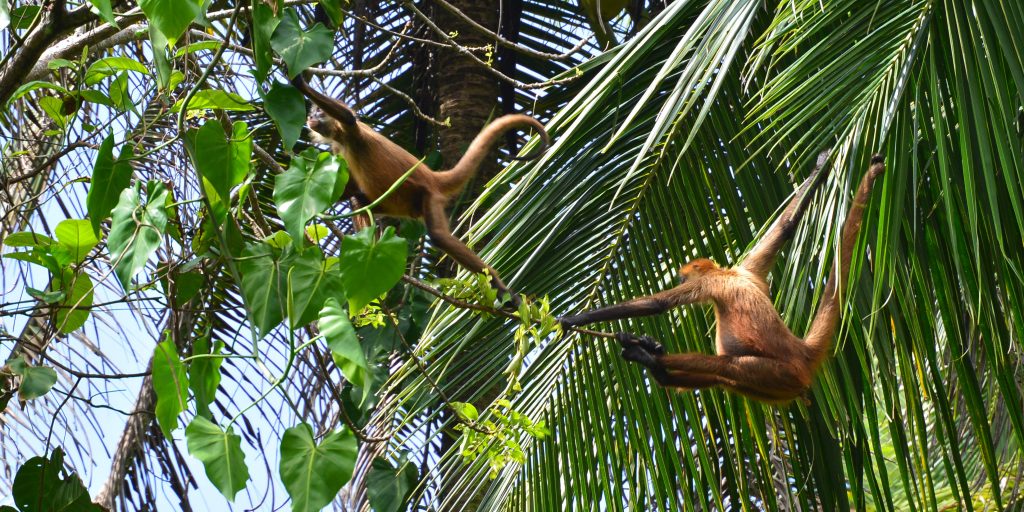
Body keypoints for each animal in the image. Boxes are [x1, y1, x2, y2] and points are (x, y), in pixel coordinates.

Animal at [292, 74, 548, 301]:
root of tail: (432, 176)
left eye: (318, 113)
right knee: (360, 201)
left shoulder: (351, 130)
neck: (341, 139)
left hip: (428, 196)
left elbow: (348, 116)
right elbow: (351, 188)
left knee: (439, 236)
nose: (311, 117)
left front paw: (298, 81)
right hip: (397, 204)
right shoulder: (337, 147)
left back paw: (501, 289)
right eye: (312, 114)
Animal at [561, 151, 888, 403]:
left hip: (778, 373)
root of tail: (801, 351)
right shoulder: (747, 268)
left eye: (682, 280)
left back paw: (650, 359)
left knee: (727, 366)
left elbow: (655, 304)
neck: (727, 272)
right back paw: (660, 370)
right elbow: (786, 227)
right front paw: (819, 168)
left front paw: (573, 320)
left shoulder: (709, 282)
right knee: (724, 379)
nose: (680, 281)